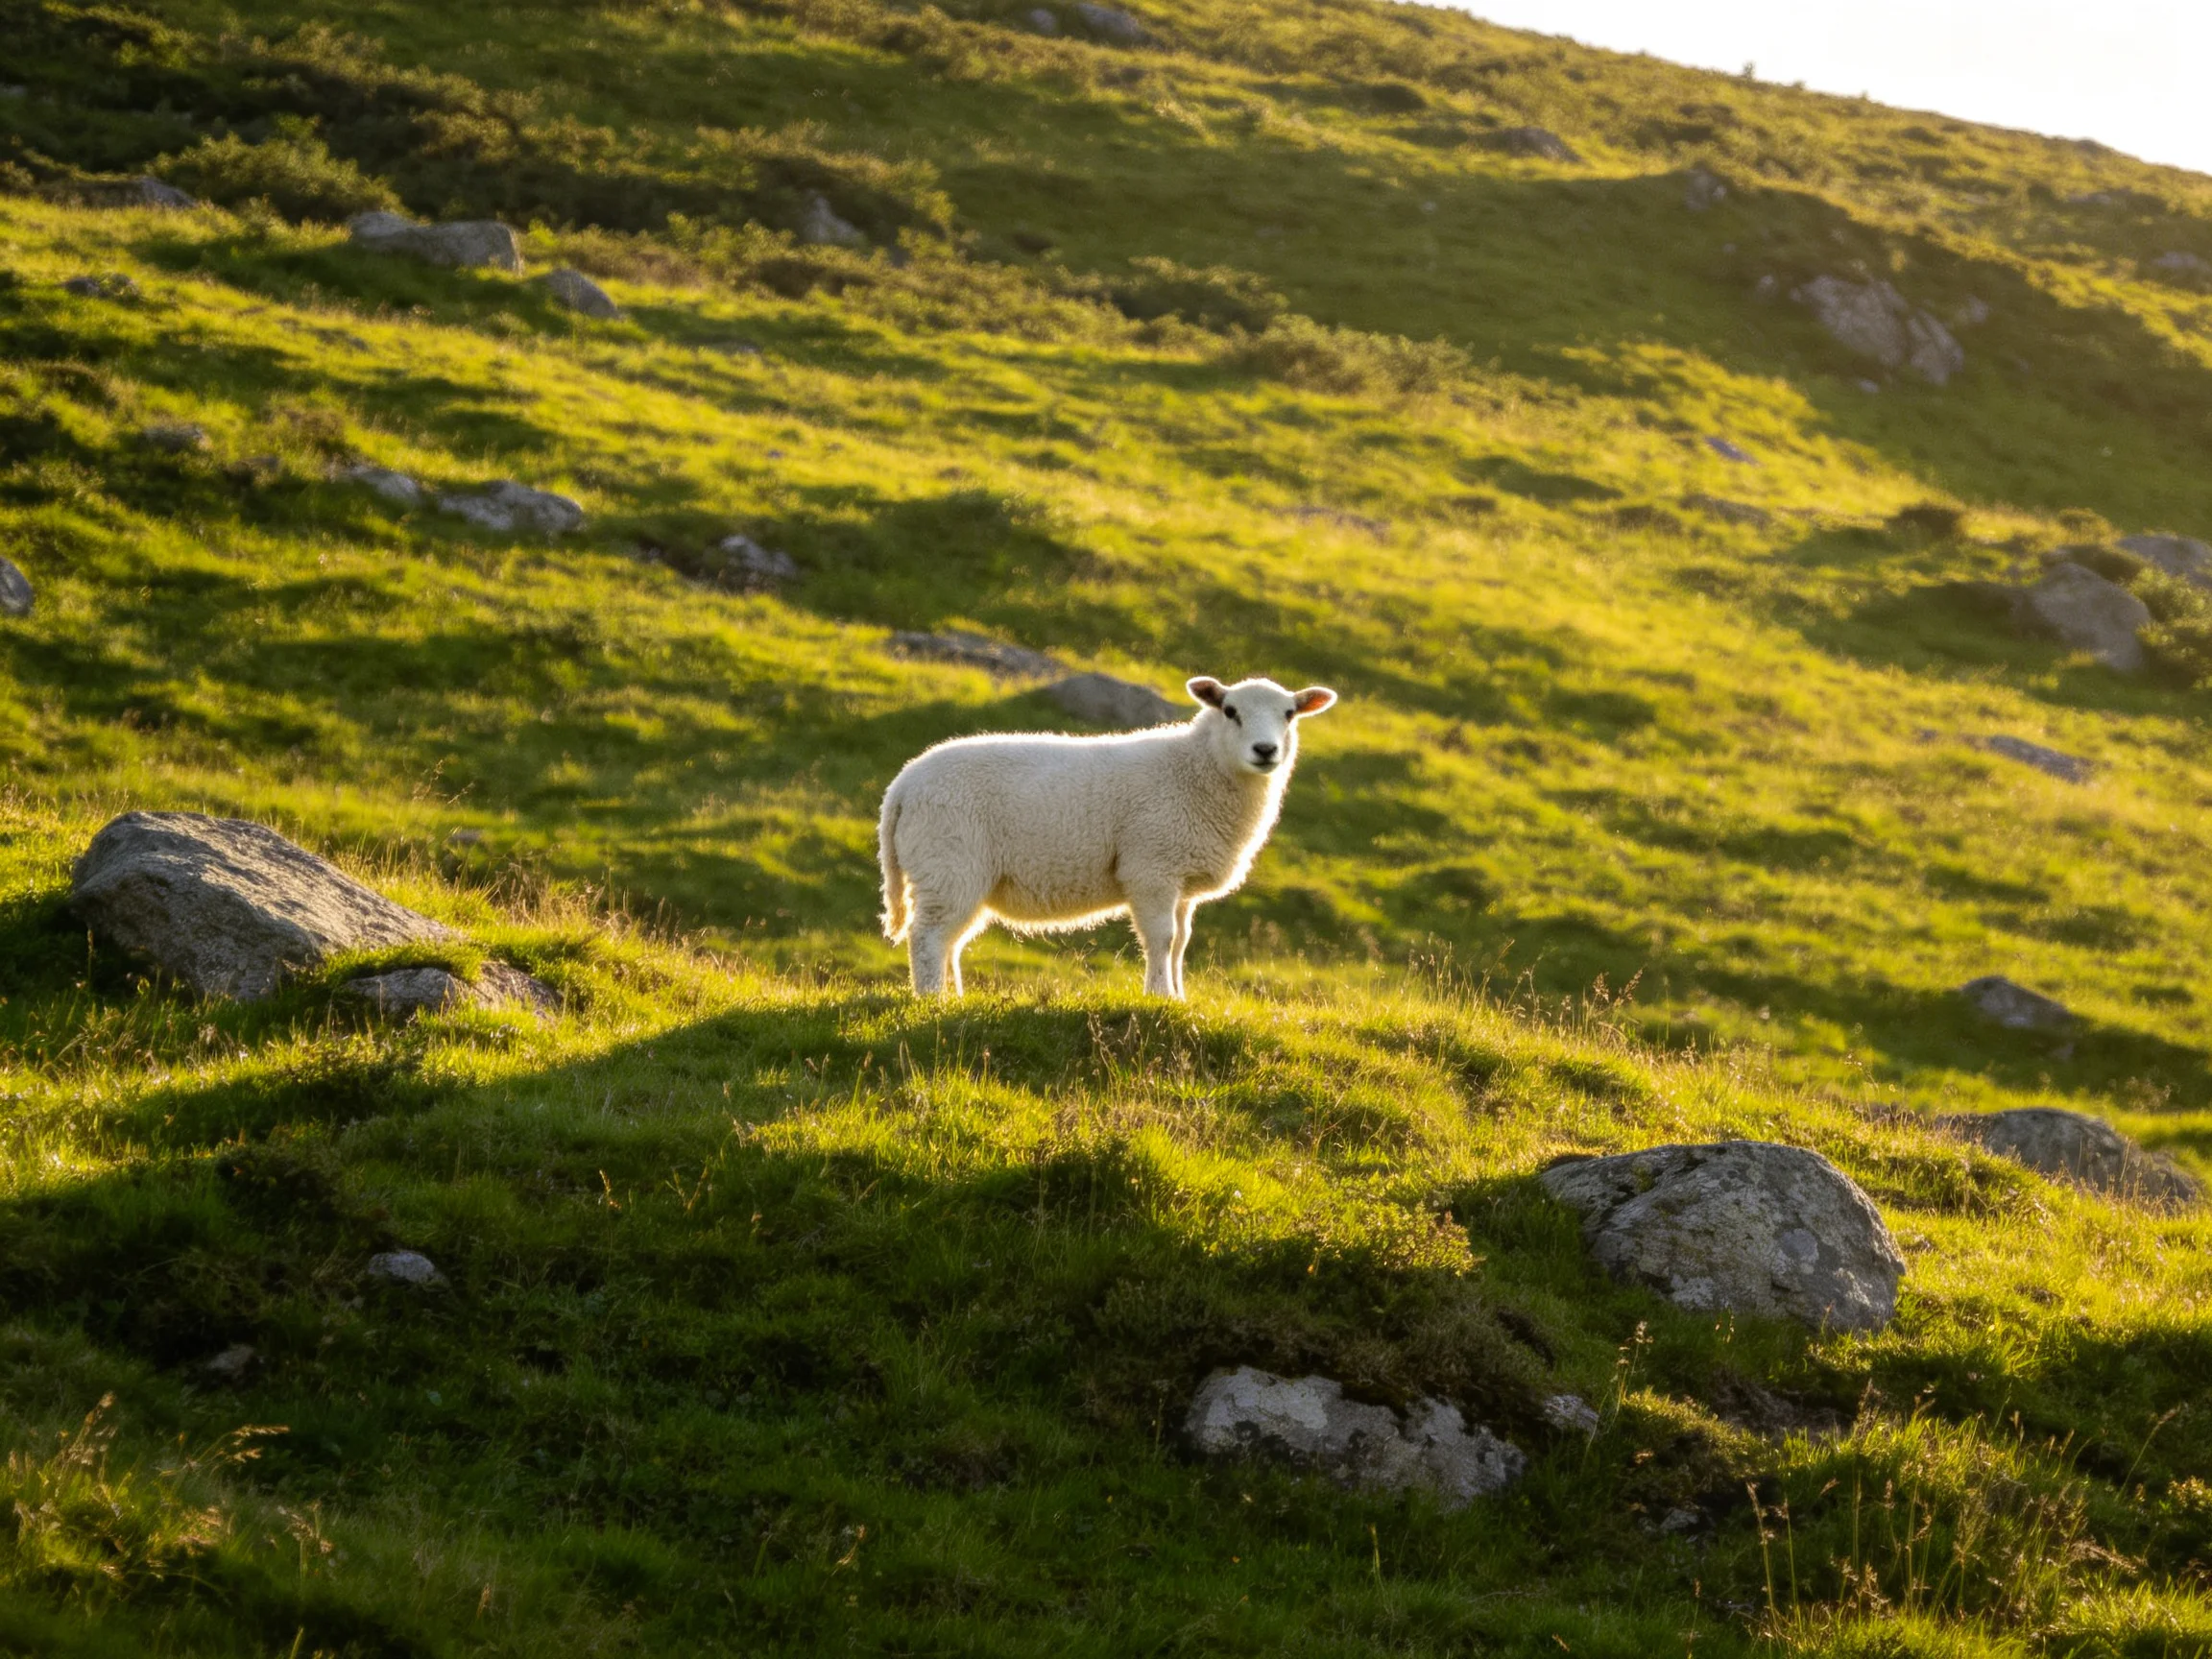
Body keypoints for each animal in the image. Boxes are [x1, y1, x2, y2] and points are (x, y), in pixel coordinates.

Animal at [878, 675, 1337, 997]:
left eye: (1290, 714)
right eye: (1230, 710)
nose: (1265, 750)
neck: (1198, 769)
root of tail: (902, 786)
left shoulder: (1181, 877)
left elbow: (1181, 943)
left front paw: (1180, 996)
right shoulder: (1151, 867)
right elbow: (1161, 938)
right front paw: (1159, 996)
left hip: (957, 874)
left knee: (949, 941)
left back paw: (953, 997)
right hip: (949, 862)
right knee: (927, 937)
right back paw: (932, 999)